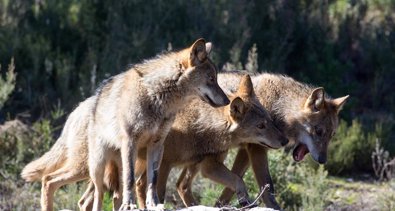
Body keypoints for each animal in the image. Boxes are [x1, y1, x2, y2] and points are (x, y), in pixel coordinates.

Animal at [86, 38, 229, 211]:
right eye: (211, 79)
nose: (227, 101)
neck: (155, 96)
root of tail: (97, 97)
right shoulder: (130, 141)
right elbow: (130, 178)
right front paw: (130, 204)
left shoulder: (157, 144)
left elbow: (152, 179)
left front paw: (153, 204)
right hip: (99, 166)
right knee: (98, 194)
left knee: (115, 194)